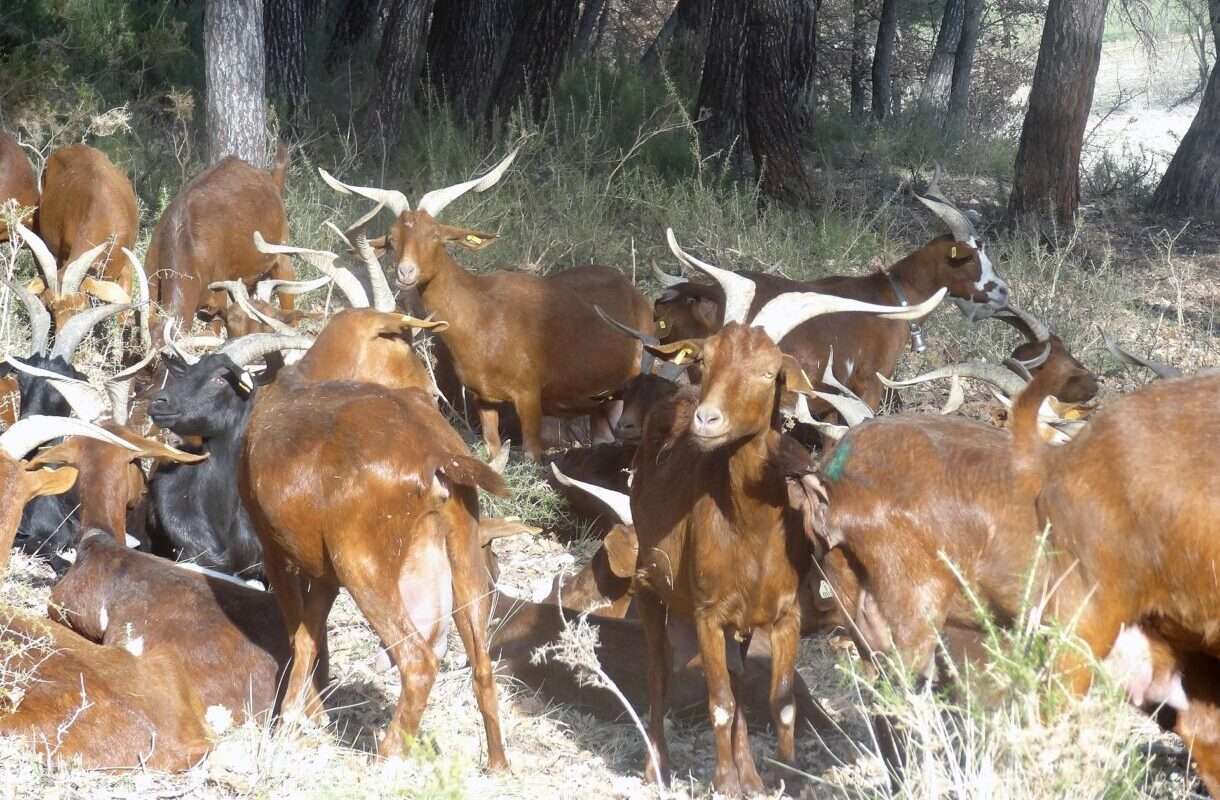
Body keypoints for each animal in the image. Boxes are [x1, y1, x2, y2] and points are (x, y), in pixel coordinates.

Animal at [319, 148, 654, 462]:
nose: (406, 273)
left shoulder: (529, 397)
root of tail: (633, 290)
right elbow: (493, 449)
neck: (483, 315)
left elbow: (532, 454)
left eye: (437, 235)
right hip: (599, 401)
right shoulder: (484, 399)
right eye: (391, 238)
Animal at [627, 235, 943, 794]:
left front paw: (782, 778)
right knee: (660, 672)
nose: (707, 420)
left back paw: (751, 773)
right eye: (708, 357)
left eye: (767, 372)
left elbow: (782, 705)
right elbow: (720, 702)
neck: (747, 530)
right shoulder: (708, 613)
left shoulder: (785, 617)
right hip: (650, 582)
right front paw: (724, 782)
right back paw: (656, 766)